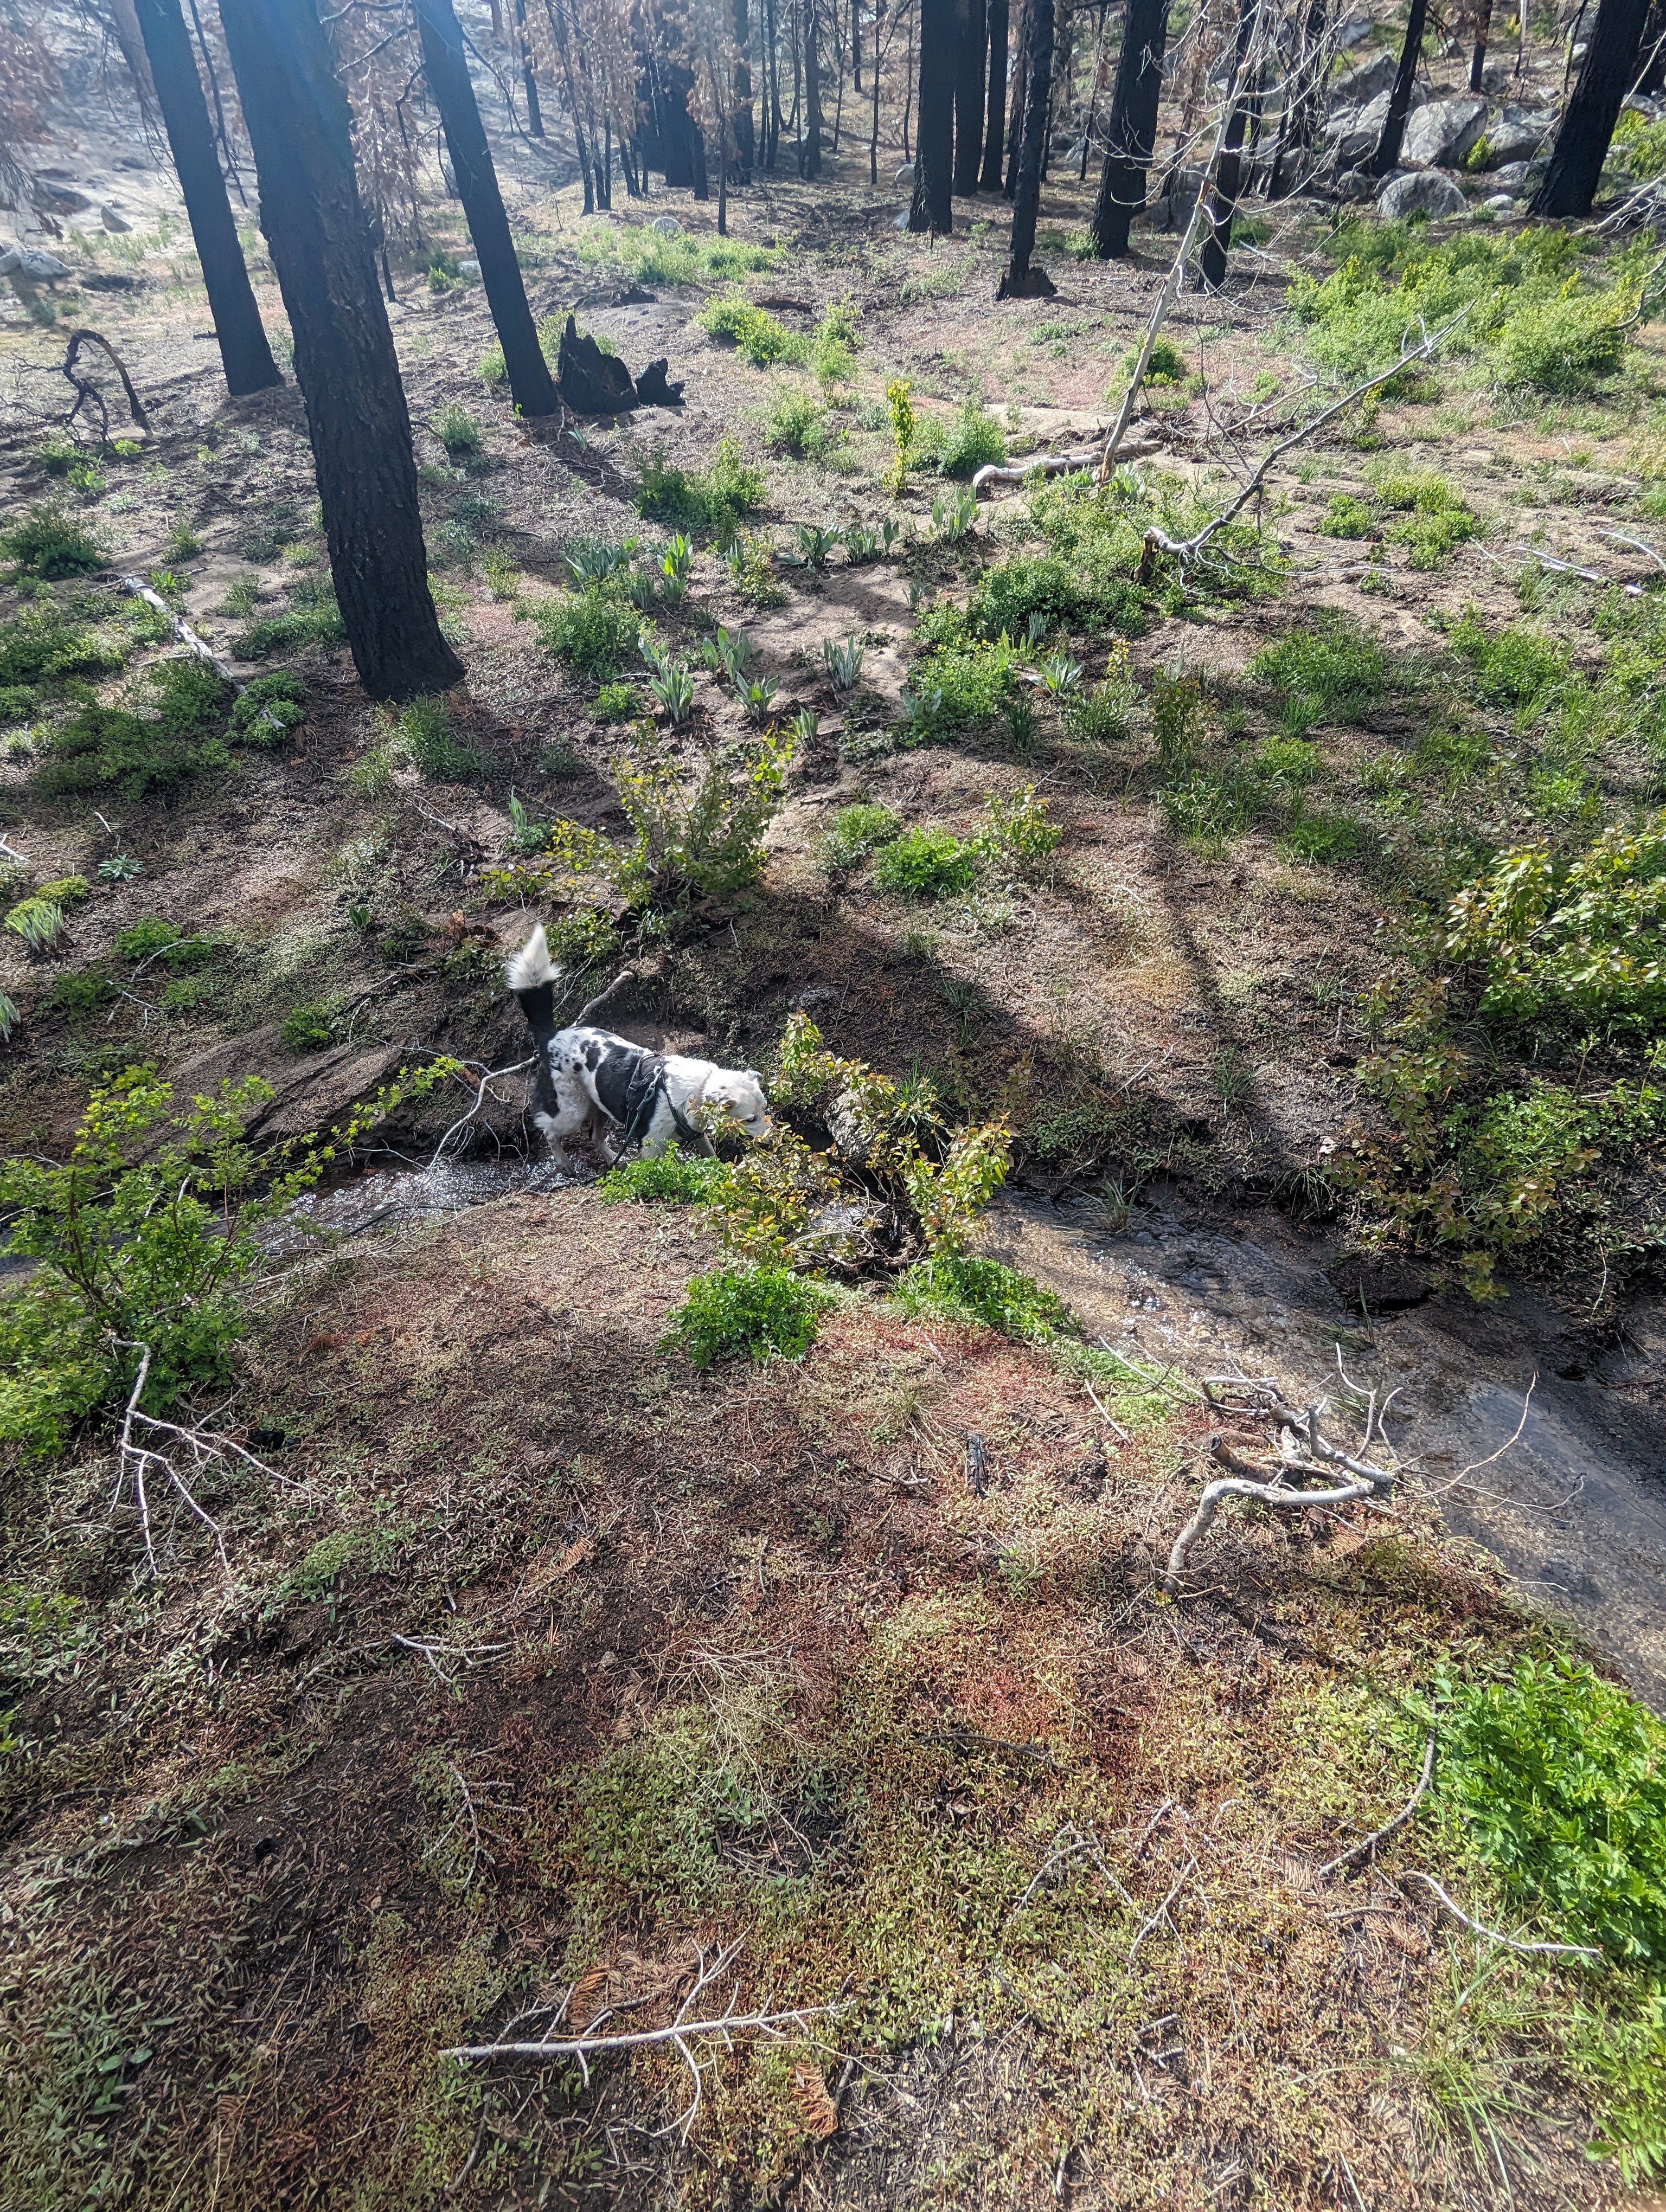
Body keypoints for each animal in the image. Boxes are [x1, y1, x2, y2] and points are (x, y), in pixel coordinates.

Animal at [504, 924, 770, 1176]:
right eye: (751, 1119)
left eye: (765, 1110)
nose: (770, 1142)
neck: (697, 1090)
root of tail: (552, 1035)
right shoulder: (652, 1148)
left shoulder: (698, 1135)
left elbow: (712, 1158)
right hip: (571, 1111)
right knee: (549, 1132)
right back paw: (564, 1163)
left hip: (599, 1103)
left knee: (595, 1136)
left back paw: (612, 1159)